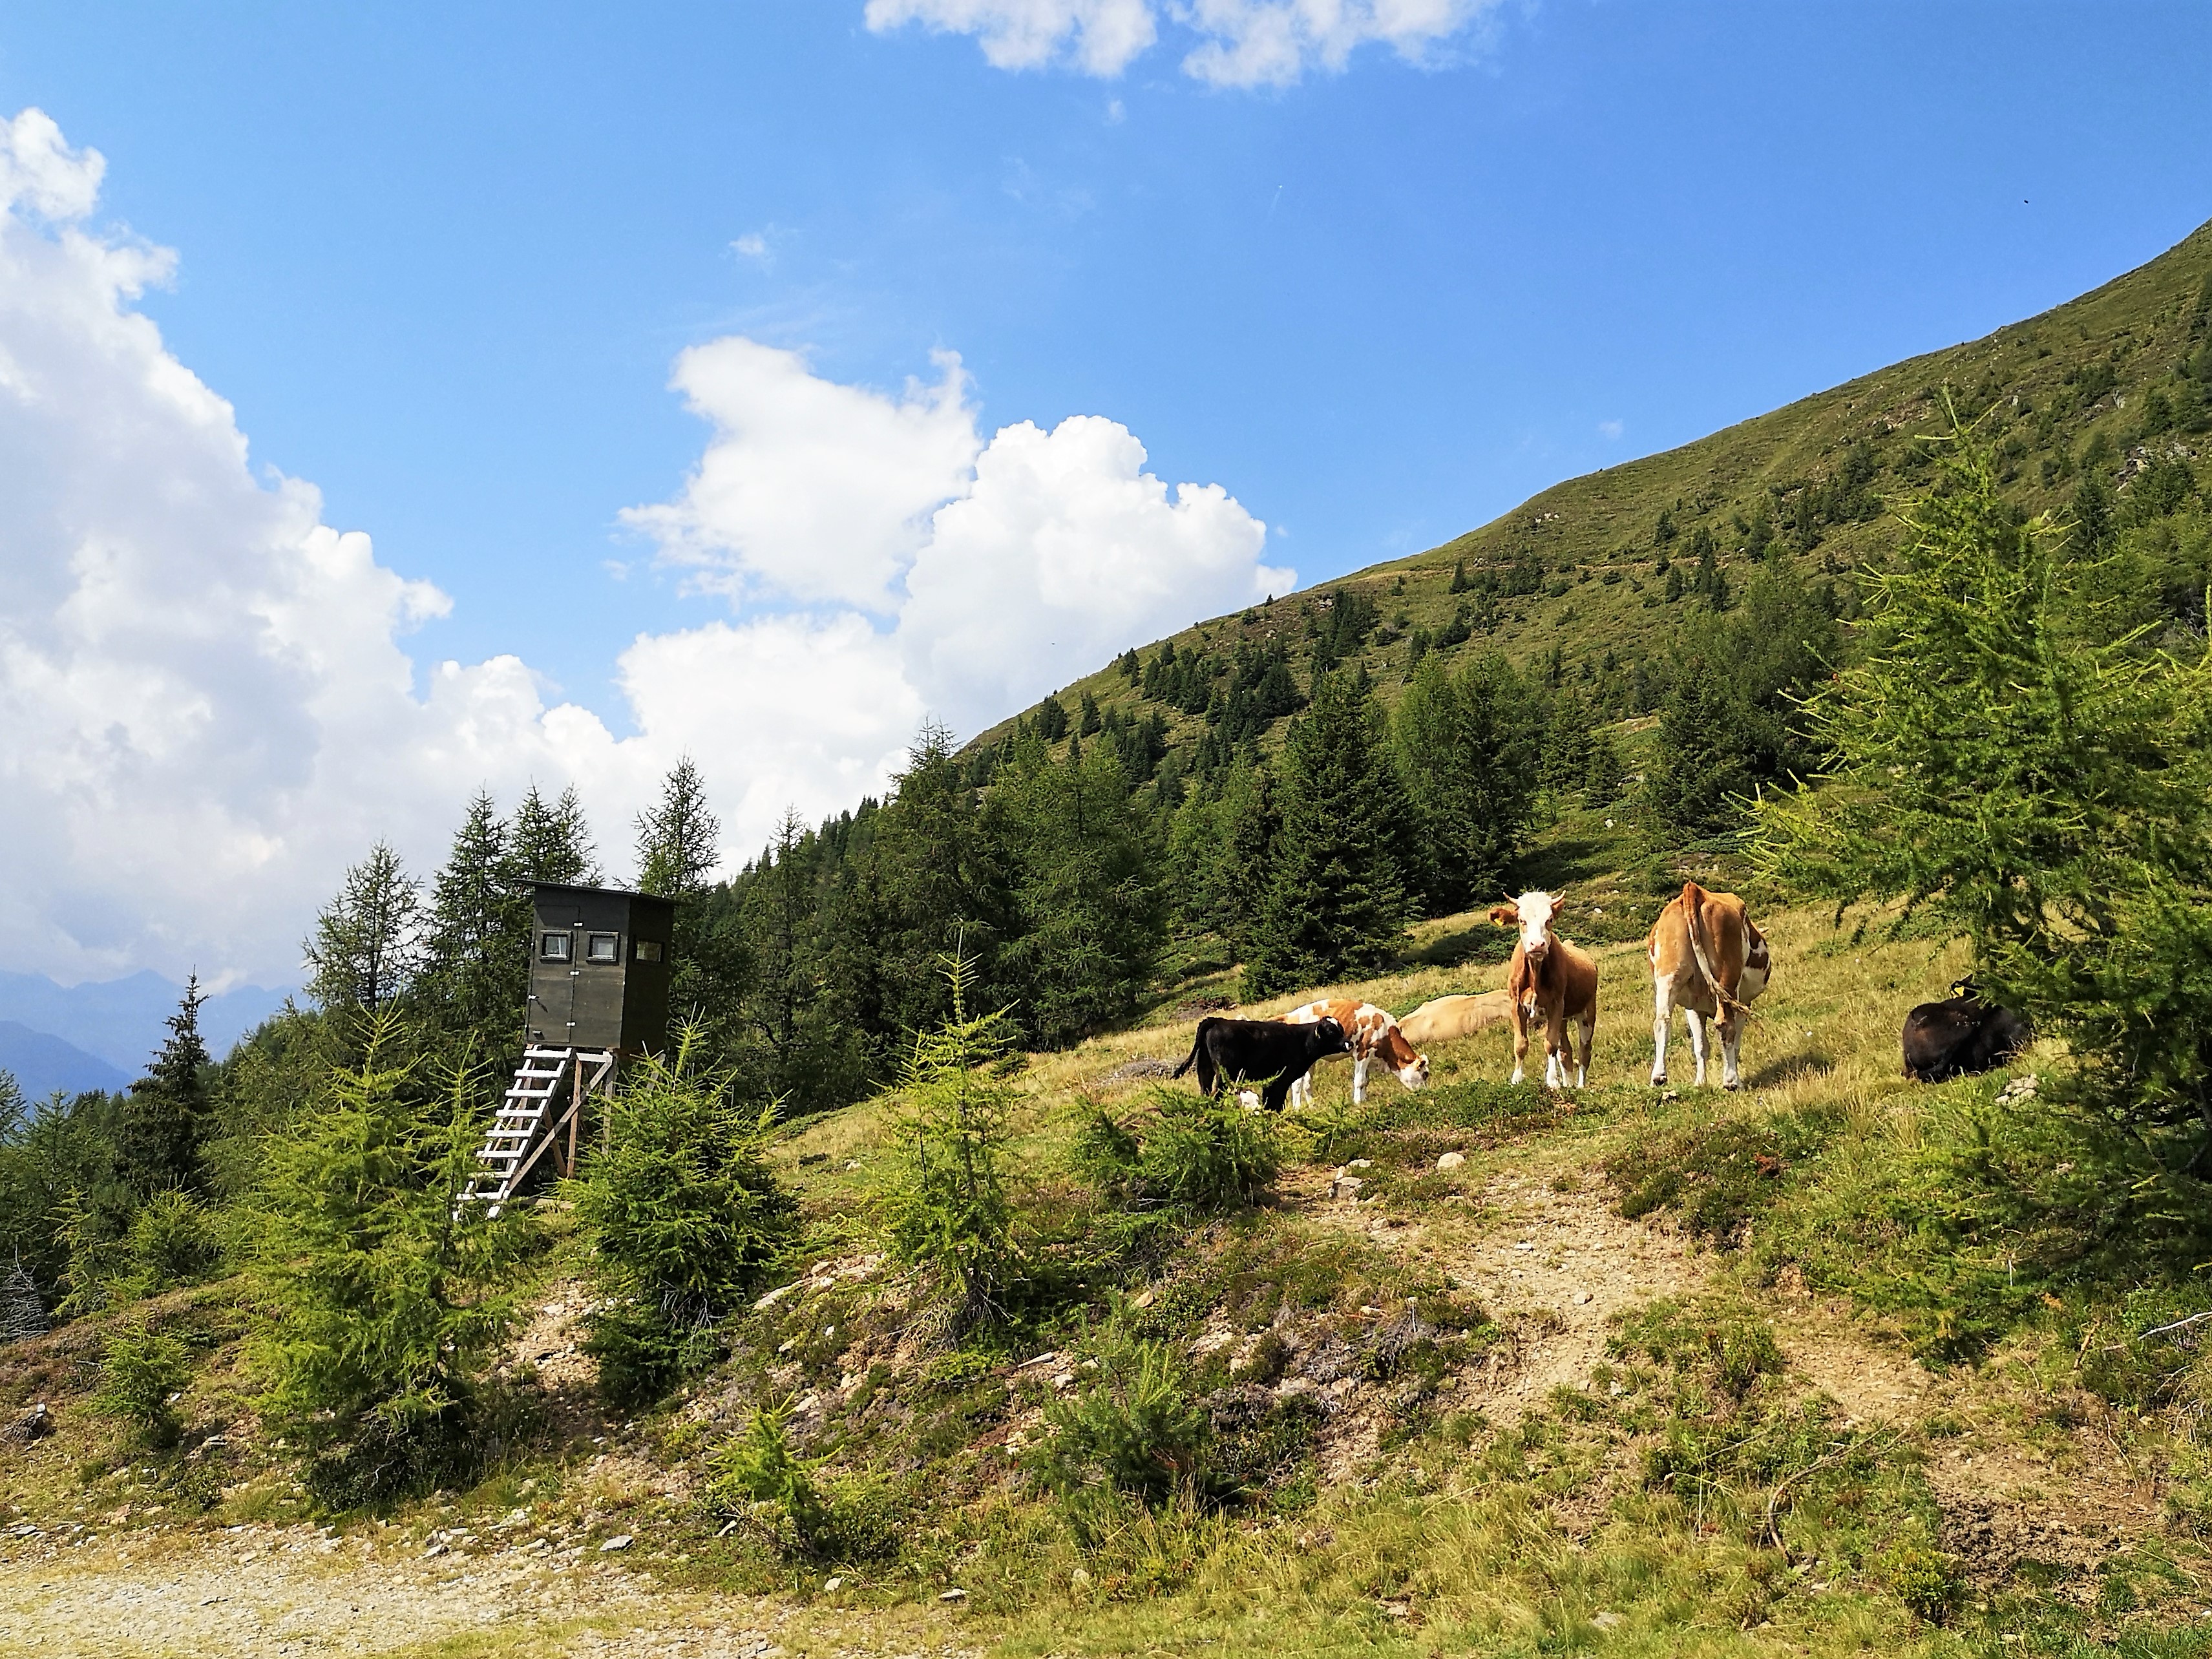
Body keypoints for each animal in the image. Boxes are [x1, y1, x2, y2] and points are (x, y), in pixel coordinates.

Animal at [1168, 1013, 1353, 1119]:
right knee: (1216, 1095)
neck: (1302, 1041)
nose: (1349, 1043)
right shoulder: (1282, 1079)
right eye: (1331, 1032)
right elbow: (1276, 1103)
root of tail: (1216, 1021)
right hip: (1225, 1073)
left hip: (1204, 1070)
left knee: (1205, 1093)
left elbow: (1269, 1103)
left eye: (1341, 1029)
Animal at [1283, 1000, 1433, 1119]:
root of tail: (1290, 1016)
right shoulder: (1364, 1051)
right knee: (1297, 1084)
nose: (1425, 1092)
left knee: (1307, 1084)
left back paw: (1312, 1107)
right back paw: (1298, 1108)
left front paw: (1364, 1099)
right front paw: (1357, 1103)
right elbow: (1359, 1081)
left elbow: (1365, 1080)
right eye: (1425, 1074)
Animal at [1495, 898, 1601, 1092]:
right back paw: (1568, 1084)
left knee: (1584, 1050)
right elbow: (1521, 1044)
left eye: (1550, 919)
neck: (1535, 973)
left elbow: (1550, 1044)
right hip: (1563, 1019)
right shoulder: (1516, 1005)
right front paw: (1517, 1079)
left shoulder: (1556, 1004)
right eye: (1522, 920)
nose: (1537, 945)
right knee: (1566, 1052)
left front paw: (1552, 1080)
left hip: (1587, 1010)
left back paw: (1580, 1086)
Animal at [1654, 876, 1769, 1097]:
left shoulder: (1693, 1008)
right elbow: (1735, 1043)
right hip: (1727, 978)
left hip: (1668, 976)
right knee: (1725, 1024)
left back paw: (1658, 1076)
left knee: (1662, 1020)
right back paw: (1731, 1082)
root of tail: (1695, 890)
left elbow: (1701, 1046)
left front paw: (1700, 1083)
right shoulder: (1744, 1003)